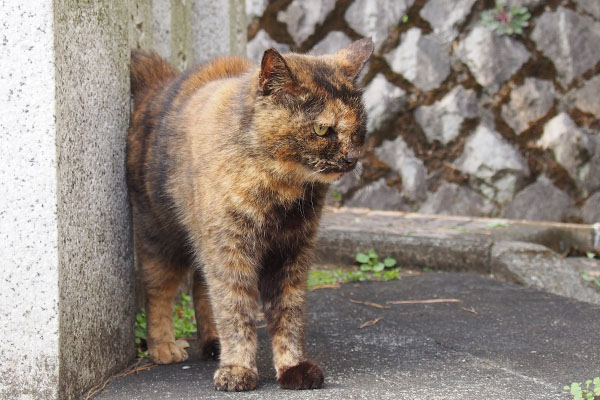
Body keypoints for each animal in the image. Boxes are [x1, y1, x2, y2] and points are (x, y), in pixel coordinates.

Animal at [126, 38, 372, 390]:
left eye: (359, 129)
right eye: (322, 129)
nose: (352, 158)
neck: (282, 194)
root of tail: (164, 80)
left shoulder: (292, 252)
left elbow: (289, 313)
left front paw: (293, 367)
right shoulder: (230, 250)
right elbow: (234, 308)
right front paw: (238, 369)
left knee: (201, 286)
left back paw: (212, 342)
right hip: (159, 235)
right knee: (159, 289)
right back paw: (164, 347)